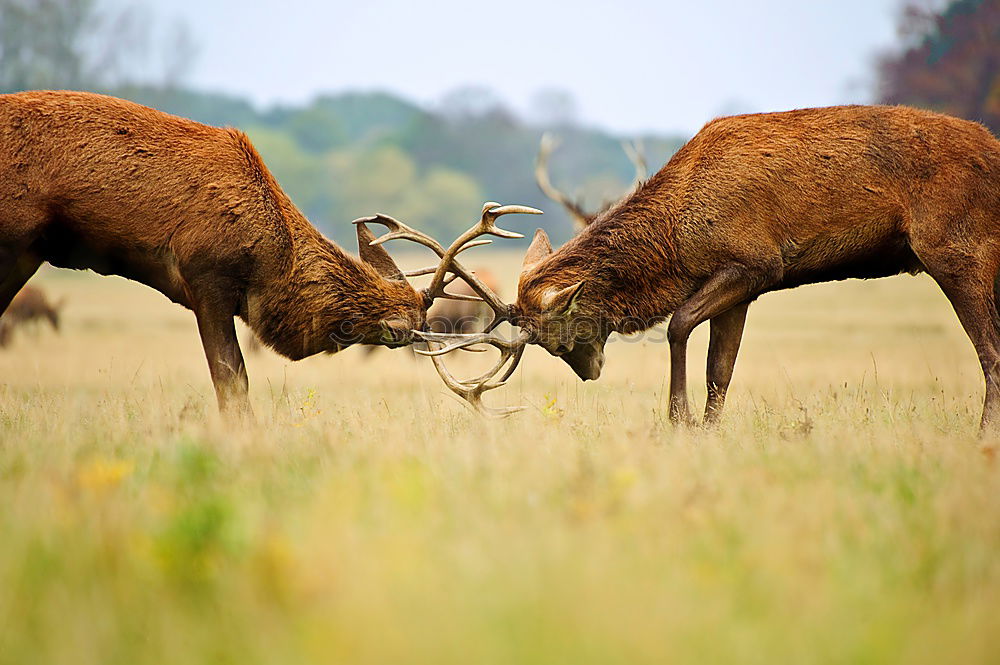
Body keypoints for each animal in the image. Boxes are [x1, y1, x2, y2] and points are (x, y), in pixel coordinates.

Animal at [416, 105, 1000, 428]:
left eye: (555, 340)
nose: (590, 372)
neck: (679, 242)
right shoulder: (745, 286)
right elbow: (722, 369)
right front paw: (709, 430)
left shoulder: (756, 263)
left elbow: (679, 326)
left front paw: (678, 419)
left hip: (958, 249)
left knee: (989, 352)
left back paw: (981, 436)